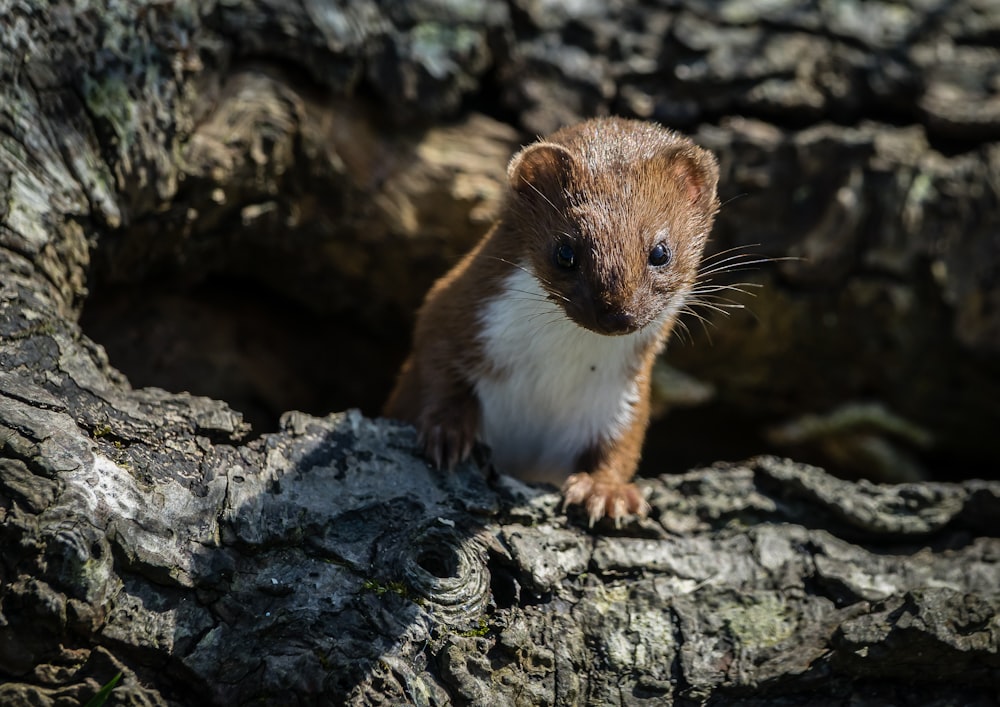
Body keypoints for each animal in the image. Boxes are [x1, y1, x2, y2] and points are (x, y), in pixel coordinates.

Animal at [382, 116, 720, 524]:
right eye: (565, 251)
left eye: (660, 251)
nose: (616, 313)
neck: (552, 378)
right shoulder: (451, 308)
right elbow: (435, 361)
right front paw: (445, 433)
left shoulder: (620, 394)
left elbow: (623, 440)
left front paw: (604, 492)